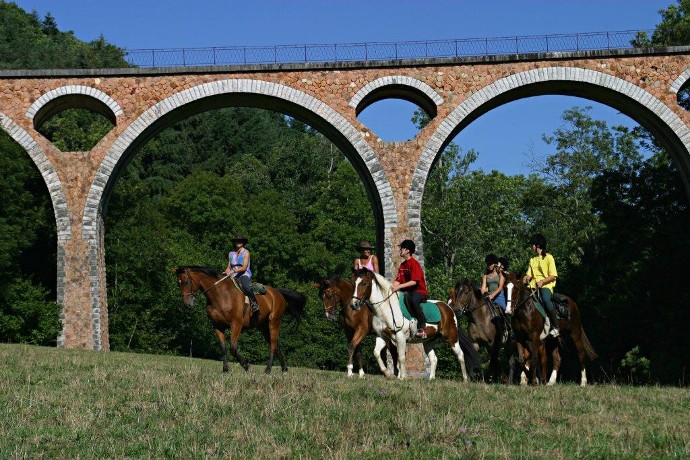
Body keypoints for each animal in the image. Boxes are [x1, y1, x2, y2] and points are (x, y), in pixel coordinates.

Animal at [176, 266, 306, 374]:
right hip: (263, 327)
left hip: (274, 322)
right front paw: (226, 369)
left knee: (273, 345)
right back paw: (284, 368)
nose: (188, 304)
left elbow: (233, 348)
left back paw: (268, 369)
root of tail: (277, 292)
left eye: (186, 282)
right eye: (178, 284)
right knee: (276, 345)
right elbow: (223, 348)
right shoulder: (217, 326)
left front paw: (247, 366)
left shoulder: (236, 324)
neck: (220, 295)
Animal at [350, 268, 478, 380]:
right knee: (433, 358)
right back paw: (431, 379)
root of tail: (448, 308)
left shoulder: (400, 337)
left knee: (460, 355)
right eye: (353, 283)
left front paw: (403, 377)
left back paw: (465, 379)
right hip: (428, 341)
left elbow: (401, 357)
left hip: (451, 337)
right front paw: (388, 374)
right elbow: (376, 353)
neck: (385, 308)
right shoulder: (381, 336)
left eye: (365, 283)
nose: (353, 304)